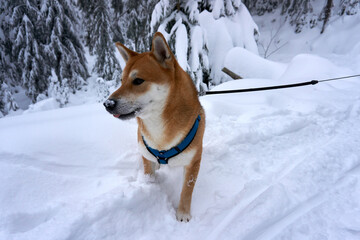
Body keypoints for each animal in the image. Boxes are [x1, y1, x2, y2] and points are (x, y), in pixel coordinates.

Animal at [104, 32, 205, 223]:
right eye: (121, 81)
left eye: (138, 80)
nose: (107, 104)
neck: (160, 129)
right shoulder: (146, 155)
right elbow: (149, 174)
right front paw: (149, 186)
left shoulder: (193, 161)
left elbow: (187, 189)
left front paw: (183, 213)